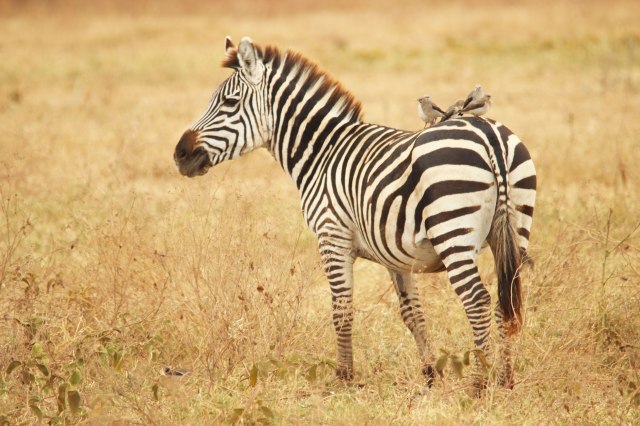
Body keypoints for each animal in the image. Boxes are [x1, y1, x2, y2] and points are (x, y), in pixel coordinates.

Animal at [174, 36, 536, 391]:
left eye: (229, 102)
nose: (180, 154)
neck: (322, 153)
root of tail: (489, 136)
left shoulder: (332, 237)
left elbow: (342, 310)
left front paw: (344, 377)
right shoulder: (396, 256)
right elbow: (412, 314)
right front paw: (430, 376)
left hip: (453, 234)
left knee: (478, 301)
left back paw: (478, 385)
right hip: (514, 230)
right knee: (507, 303)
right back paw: (506, 380)